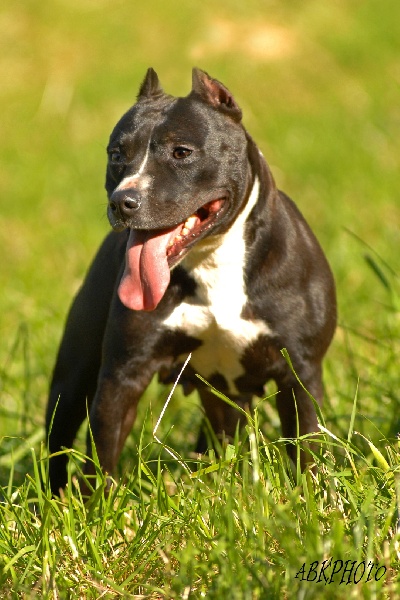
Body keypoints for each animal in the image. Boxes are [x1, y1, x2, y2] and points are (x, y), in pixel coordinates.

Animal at [46, 68, 336, 494]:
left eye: (182, 152)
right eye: (117, 155)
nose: (123, 201)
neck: (213, 260)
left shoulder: (299, 371)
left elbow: (306, 446)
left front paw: (311, 496)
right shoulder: (123, 374)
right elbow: (103, 453)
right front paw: (97, 504)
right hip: (74, 373)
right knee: (59, 435)